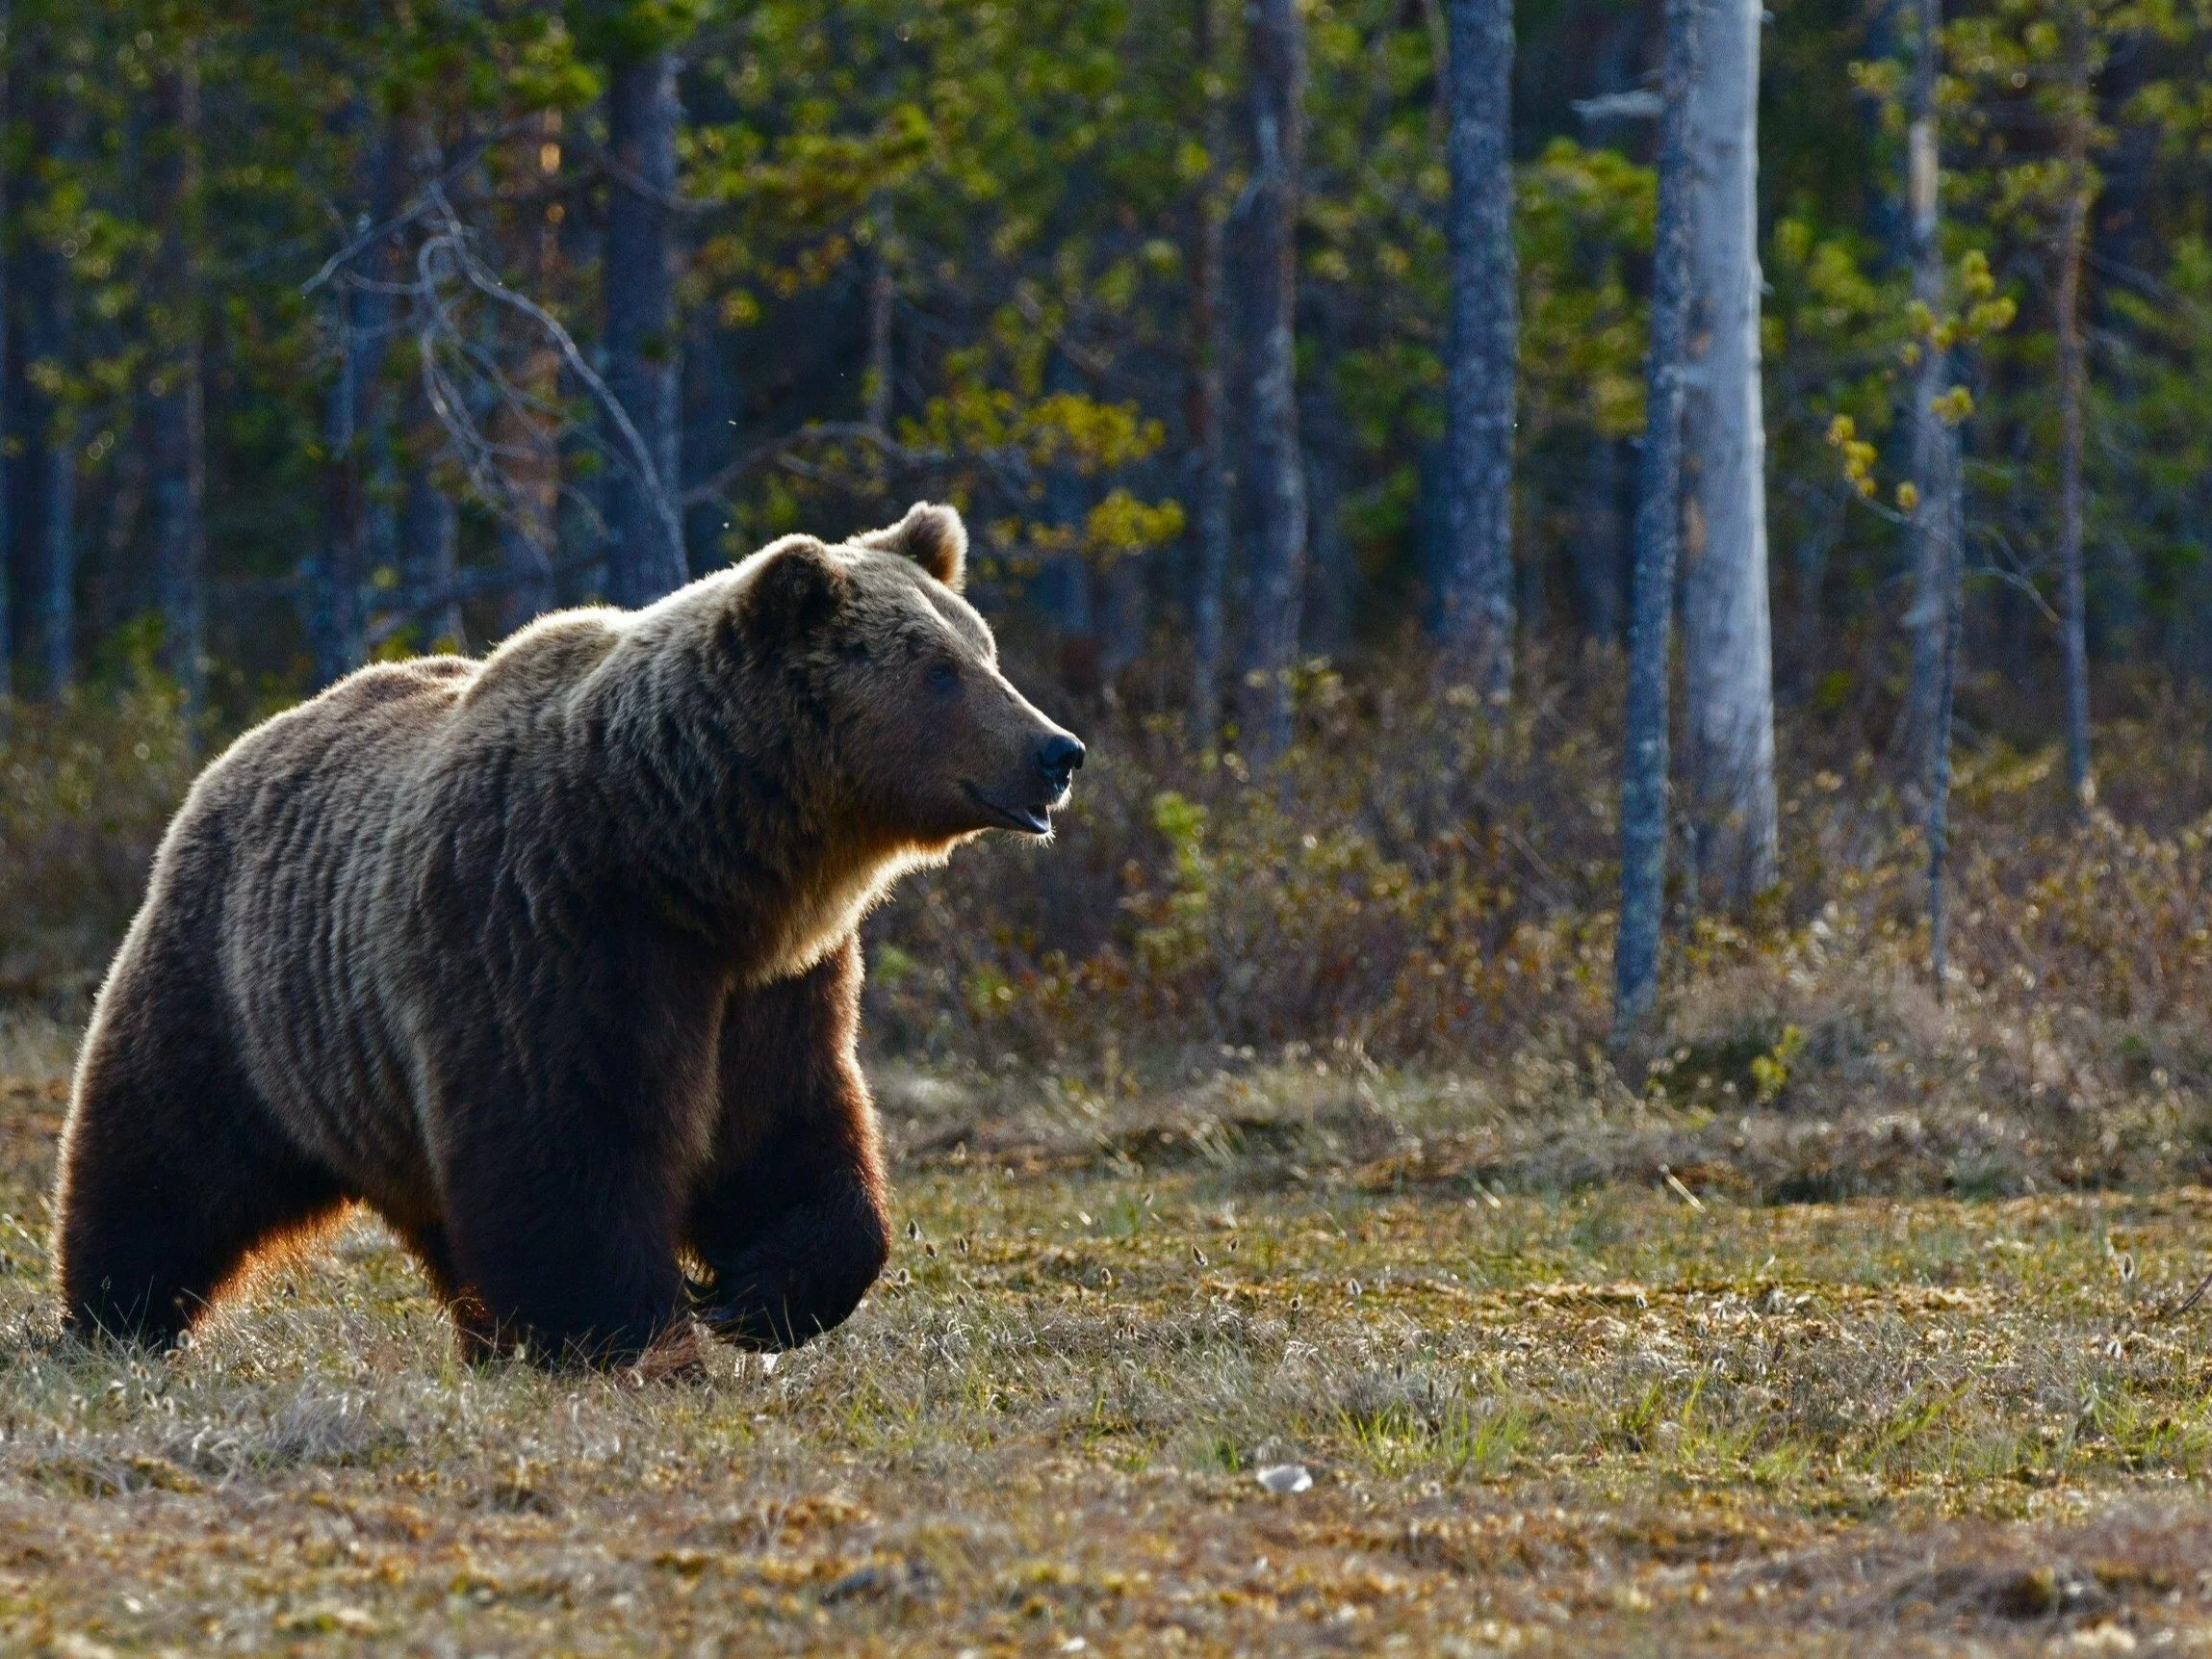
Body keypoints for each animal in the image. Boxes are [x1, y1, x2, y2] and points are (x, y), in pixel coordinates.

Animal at [47, 504, 1084, 1362]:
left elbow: (789, 1125)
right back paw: (114, 1314)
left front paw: (759, 1292)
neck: (691, 860)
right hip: (240, 987)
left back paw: (483, 1336)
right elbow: (568, 1145)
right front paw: (630, 1331)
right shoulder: (551, 928)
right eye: (940, 670)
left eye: (985, 650)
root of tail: (246, 744)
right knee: (165, 1153)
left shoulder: (775, 980)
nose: (1058, 750)